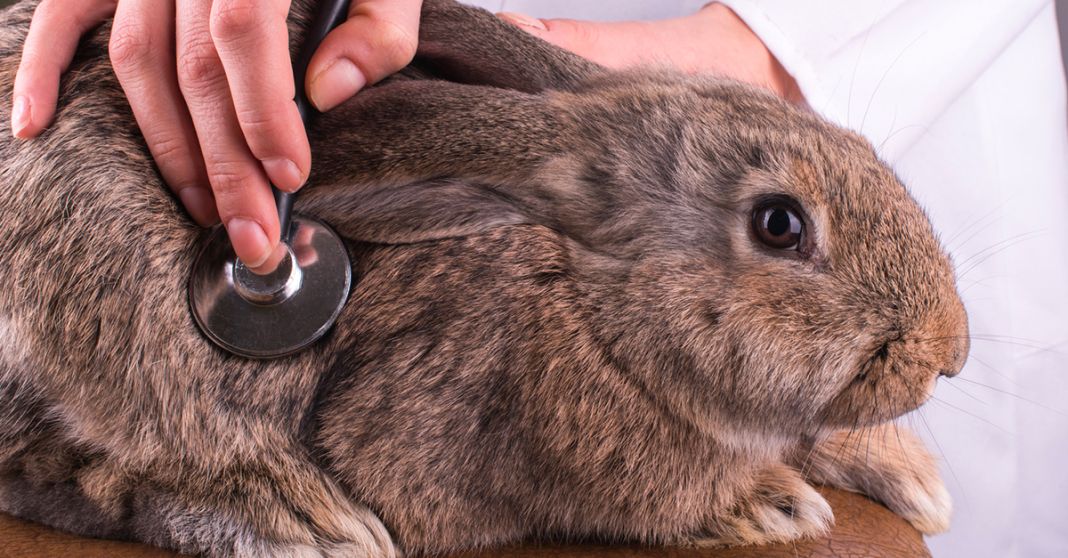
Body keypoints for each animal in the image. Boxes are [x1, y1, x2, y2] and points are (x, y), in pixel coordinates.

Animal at [0, 0, 968, 556]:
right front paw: (770, 504)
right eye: (780, 225)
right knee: (93, 468)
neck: (592, 308)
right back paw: (301, 522)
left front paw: (912, 478)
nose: (949, 353)